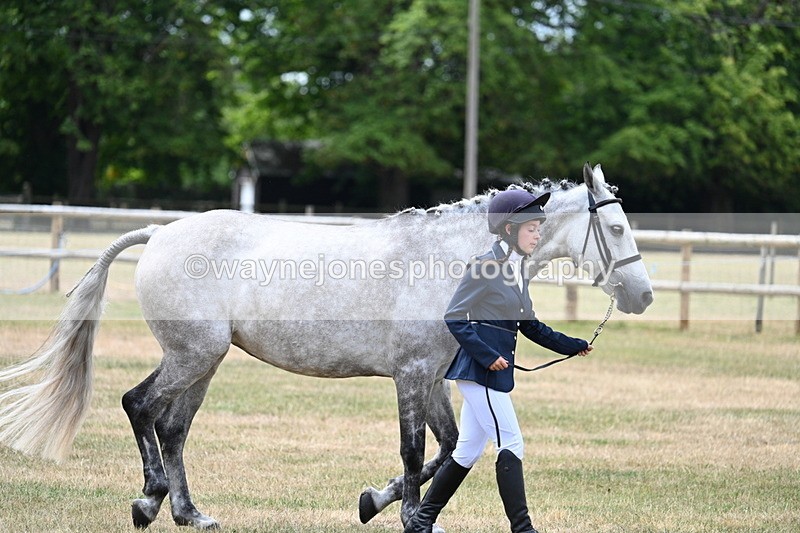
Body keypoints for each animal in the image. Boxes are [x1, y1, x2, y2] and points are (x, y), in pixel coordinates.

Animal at [0, 163, 653, 530]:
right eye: (617, 228)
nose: (642, 295)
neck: (448, 259)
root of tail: (161, 233)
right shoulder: (412, 374)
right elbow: (415, 452)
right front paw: (408, 517)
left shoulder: (433, 377)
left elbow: (444, 450)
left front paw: (372, 501)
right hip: (192, 356)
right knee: (140, 406)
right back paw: (148, 502)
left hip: (205, 362)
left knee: (173, 426)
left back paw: (190, 514)